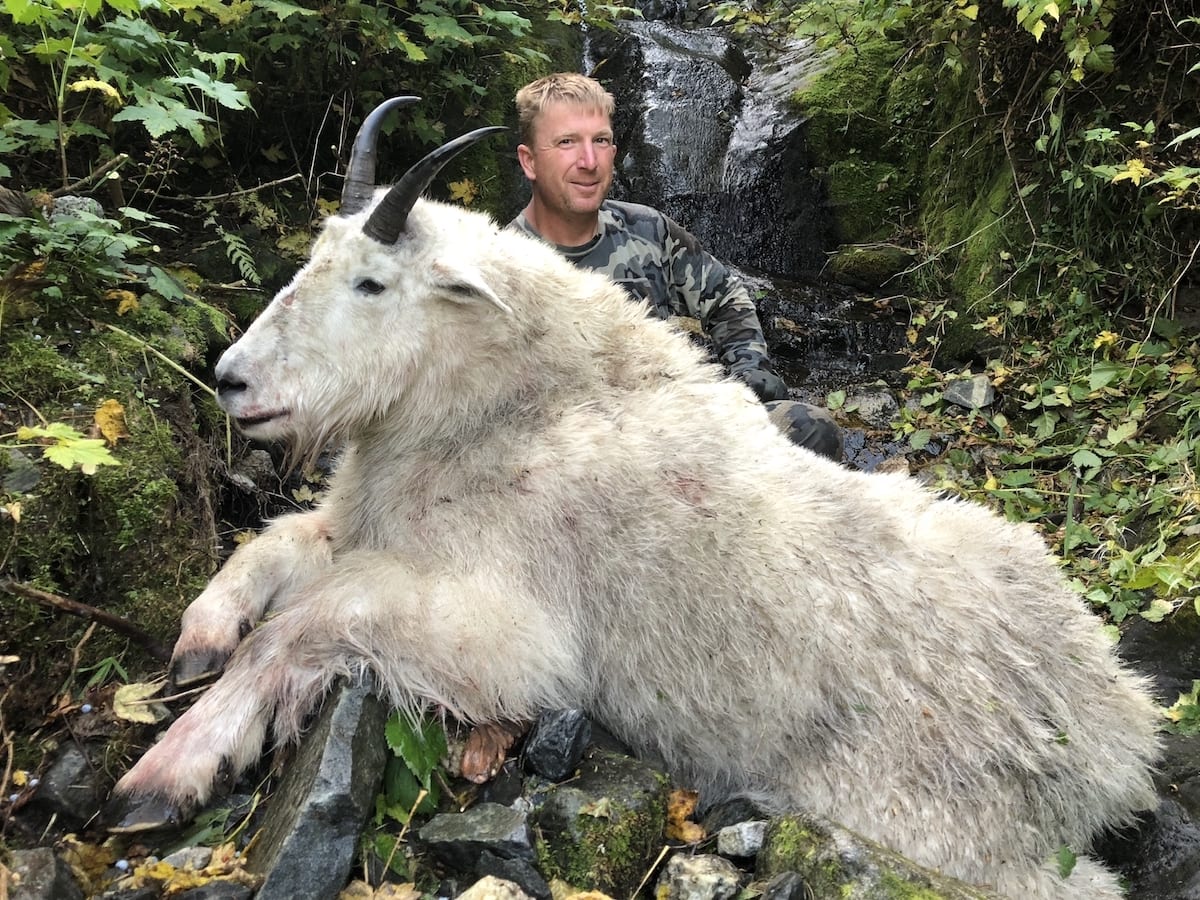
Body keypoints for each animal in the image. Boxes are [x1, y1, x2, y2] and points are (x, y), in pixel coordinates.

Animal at [108, 95, 1156, 897]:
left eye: (371, 283)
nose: (233, 380)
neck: (515, 407)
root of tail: (1111, 731)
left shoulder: (508, 632)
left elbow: (307, 625)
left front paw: (161, 775)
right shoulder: (370, 525)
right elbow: (270, 548)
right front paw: (197, 640)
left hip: (946, 830)